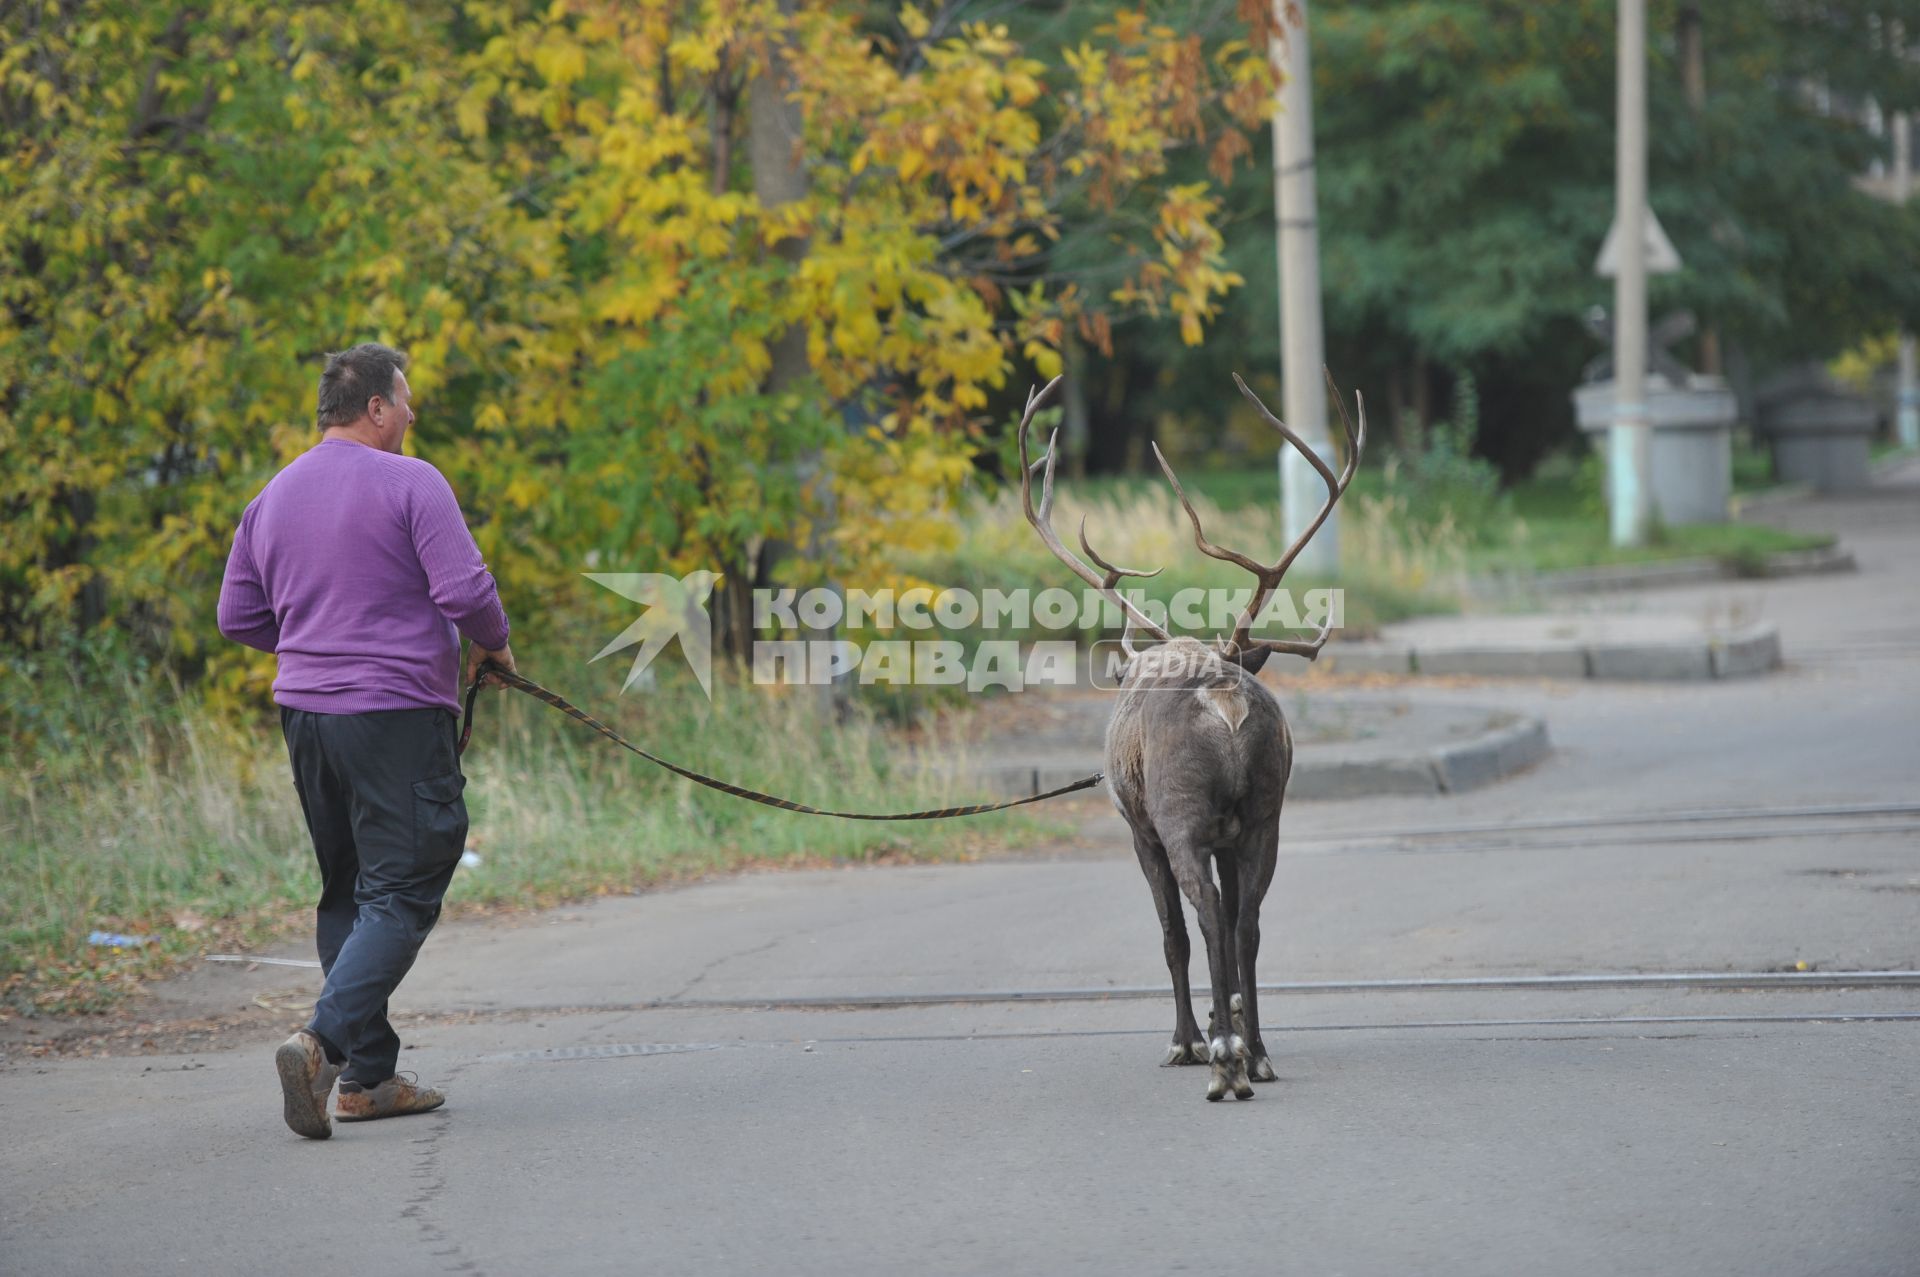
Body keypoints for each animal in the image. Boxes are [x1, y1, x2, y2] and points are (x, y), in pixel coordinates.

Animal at [1021, 368, 1367, 1098]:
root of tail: (1225, 697)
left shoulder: (1141, 829)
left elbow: (1171, 934)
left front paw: (1187, 1038)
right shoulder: (1231, 836)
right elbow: (1234, 930)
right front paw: (1222, 1019)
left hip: (1179, 813)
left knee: (1204, 912)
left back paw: (1224, 1061)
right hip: (1265, 814)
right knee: (1247, 920)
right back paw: (1256, 1050)